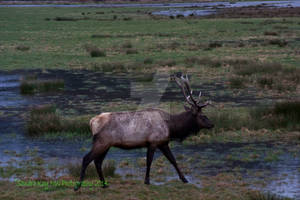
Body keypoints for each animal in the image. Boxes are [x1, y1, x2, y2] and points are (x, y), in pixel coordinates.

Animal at [74, 74, 213, 190]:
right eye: (202, 116)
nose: (212, 124)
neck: (171, 127)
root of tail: (92, 122)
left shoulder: (163, 143)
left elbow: (173, 160)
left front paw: (184, 179)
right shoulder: (153, 142)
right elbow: (149, 162)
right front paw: (147, 181)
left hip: (106, 145)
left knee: (97, 162)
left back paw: (104, 184)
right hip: (101, 142)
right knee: (86, 159)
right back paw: (78, 185)